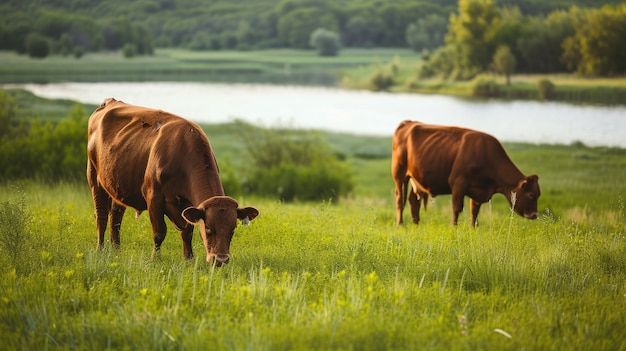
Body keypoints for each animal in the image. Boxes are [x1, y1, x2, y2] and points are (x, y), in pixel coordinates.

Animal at [86, 97, 258, 266]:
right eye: (208, 227)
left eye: (233, 228)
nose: (221, 259)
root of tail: (111, 101)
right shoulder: (153, 197)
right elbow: (159, 232)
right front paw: (155, 259)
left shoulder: (188, 205)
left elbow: (187, 232)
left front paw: (189, 258)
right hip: (94, 178)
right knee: (101, 216)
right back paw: (100, 250)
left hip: (117, 186)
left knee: (116, 218)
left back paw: (116, 250)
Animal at [392, 119, 540, 227]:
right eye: (531, 195)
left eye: (538, 194)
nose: (534, 215)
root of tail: (409, 122)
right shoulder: (458, 183)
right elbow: (457, 208)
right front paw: (454, 227)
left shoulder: (478, 189)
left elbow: (474, 210)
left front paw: (474, 227)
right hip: (400, 174)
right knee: (400, 199)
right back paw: (400, 224)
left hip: (416, 179)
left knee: (413, 201)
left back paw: (416, 224)